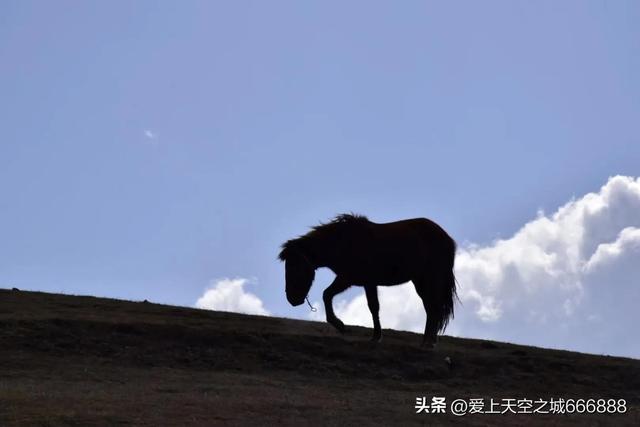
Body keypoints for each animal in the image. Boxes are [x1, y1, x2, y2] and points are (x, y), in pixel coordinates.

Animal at [278, 214, 458, 348]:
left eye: (295, 268)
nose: (292, 300)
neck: (343, 242)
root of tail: (447, 238)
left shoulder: (354, 280)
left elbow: (372, 306)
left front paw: (374, 336)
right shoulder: (354, 280)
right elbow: (328, 295)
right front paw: (342, 326)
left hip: (431, 279)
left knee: (433, 308)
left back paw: (428, 342)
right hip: (420, 281)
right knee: (431, 308)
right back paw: (427, 341)